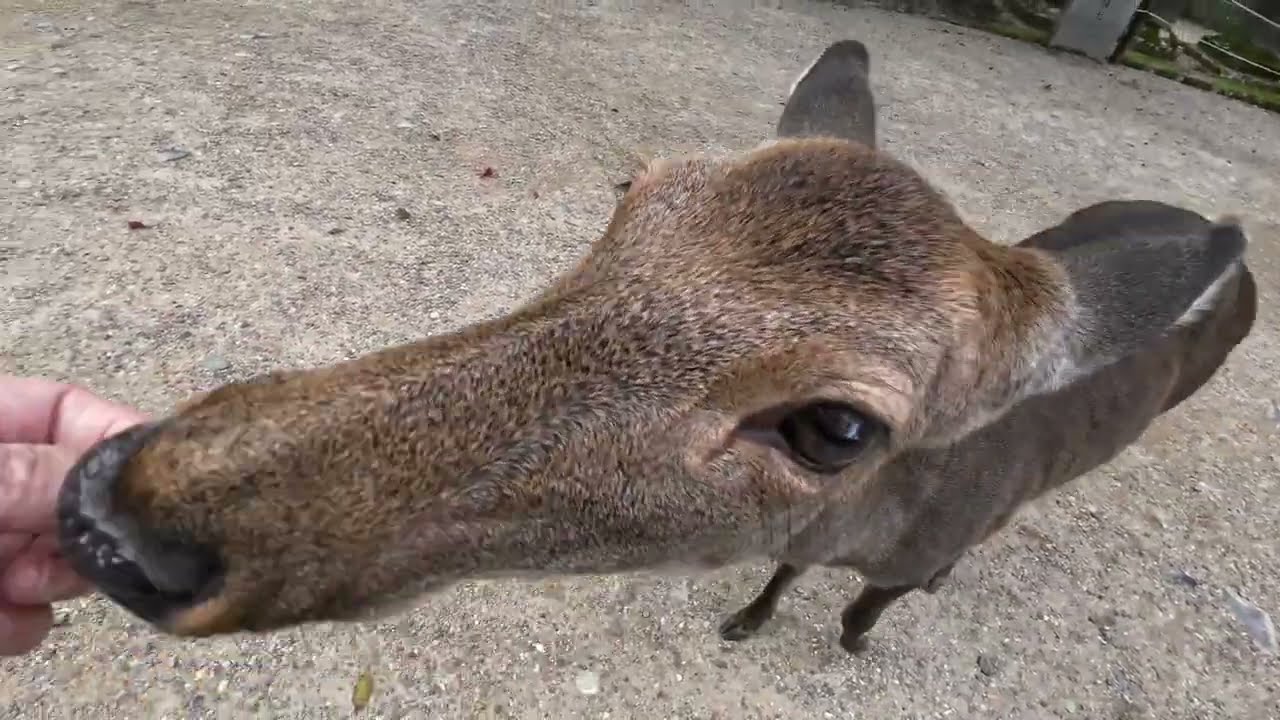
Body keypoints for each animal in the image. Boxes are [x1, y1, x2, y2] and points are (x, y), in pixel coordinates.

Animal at [55, 38, 1257, 654]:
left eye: (837, 428)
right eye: (632, 193)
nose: (116, 518)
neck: (874, 530)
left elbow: (866, 606)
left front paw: (852, 640)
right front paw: (745, 621)